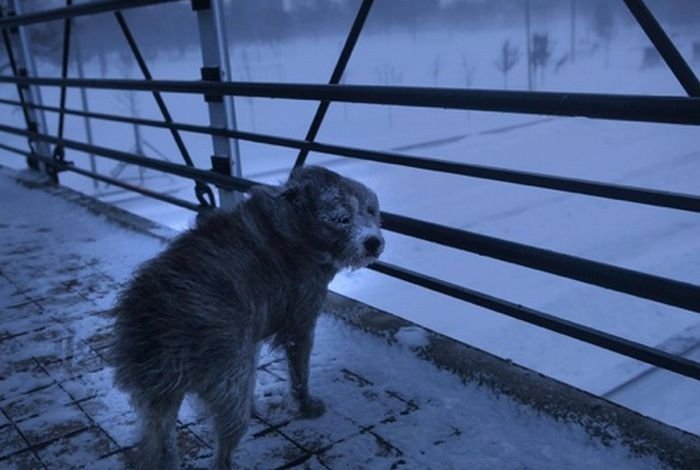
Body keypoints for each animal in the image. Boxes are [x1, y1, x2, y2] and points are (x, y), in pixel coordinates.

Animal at [111, 167, 382, 468]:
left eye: (371, 211)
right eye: (341, 218)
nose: (373, 242)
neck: (295, 227)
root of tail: (156, 316)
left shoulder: (249, 338)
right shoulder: (299, 322)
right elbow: (299, 373)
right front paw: (306, 405)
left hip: (159, 392)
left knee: (160, 438)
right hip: (225, 379)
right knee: (222, 447)